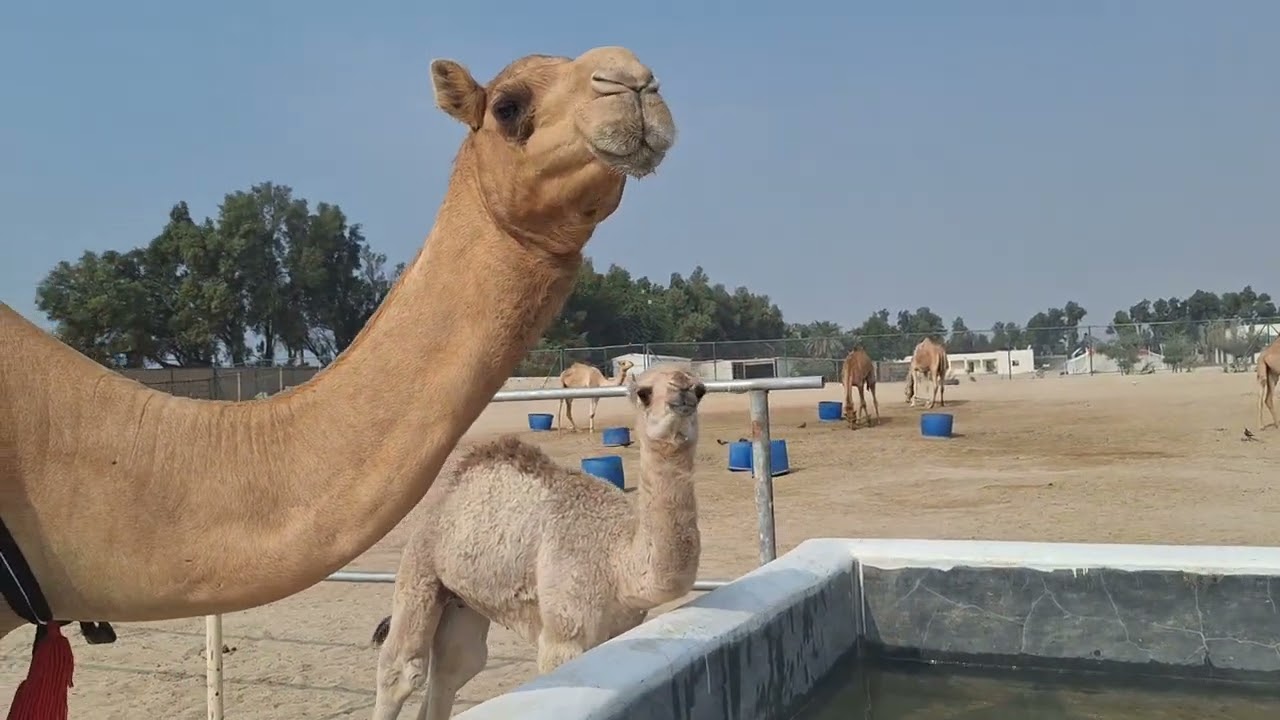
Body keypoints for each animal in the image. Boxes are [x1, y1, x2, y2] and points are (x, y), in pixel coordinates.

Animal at [369, 366, 705, 720]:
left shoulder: (619, 629)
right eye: (644, 393)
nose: (682, 392)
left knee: (456, 664)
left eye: (700, 390)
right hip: (420, 567)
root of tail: (445, 498)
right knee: (402, 668)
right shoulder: (563, 633)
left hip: (463, 598)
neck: (618, 559)